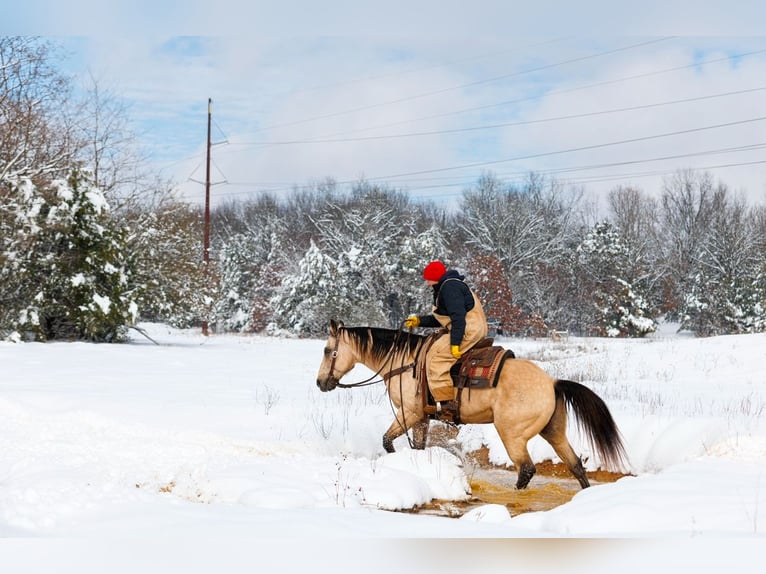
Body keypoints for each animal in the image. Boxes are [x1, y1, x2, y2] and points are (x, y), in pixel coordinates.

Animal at [316, 320, 632, 490]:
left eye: (328, 350)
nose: (320, 383)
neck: (405, 362)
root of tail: (552, 383)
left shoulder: (410, 413)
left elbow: (386, 441)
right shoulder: (422, 418)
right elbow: (417, 446)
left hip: (512, 435)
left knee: (527, 470)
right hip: (553, 432)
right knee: (575, 464)